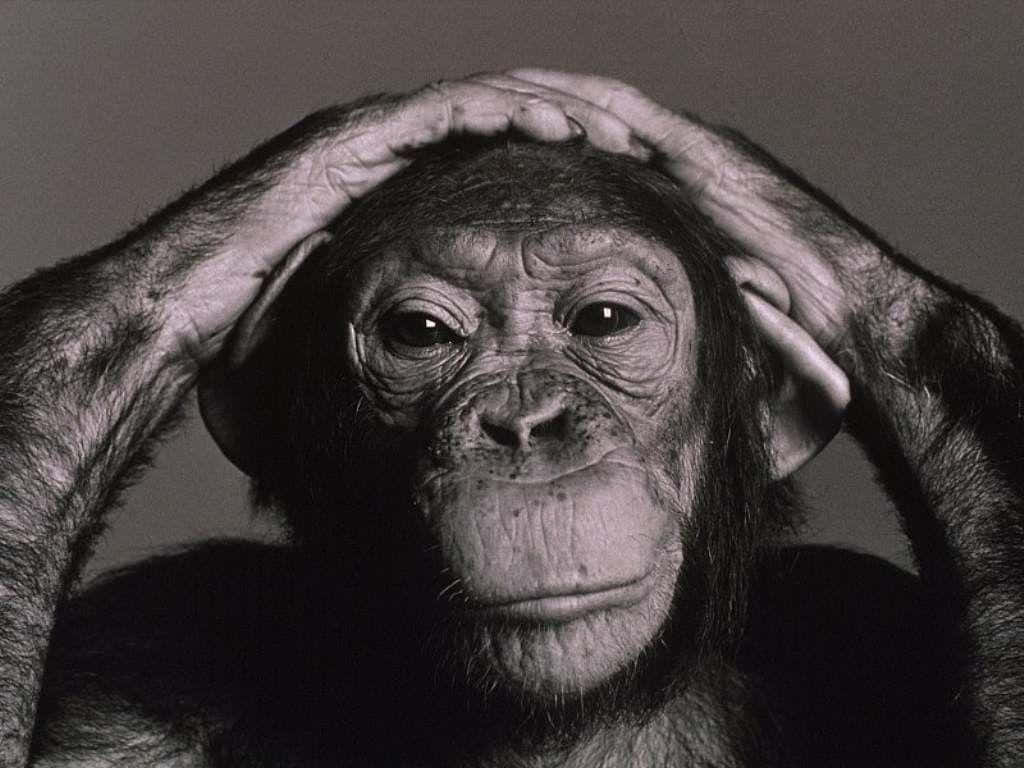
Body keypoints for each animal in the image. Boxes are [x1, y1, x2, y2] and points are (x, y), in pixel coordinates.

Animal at [0, 71, 1022, 767]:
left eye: (604, 321)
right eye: (420, 333)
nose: (526, 424)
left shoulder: (859, 620)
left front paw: (752, 195)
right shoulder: (130, 675)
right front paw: (331, 156)